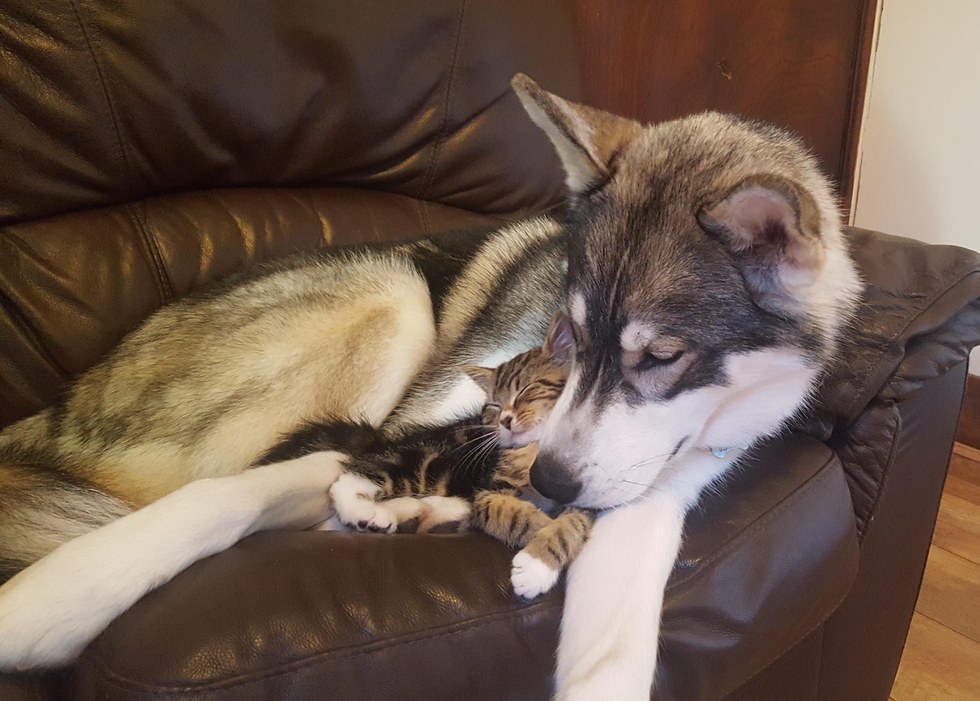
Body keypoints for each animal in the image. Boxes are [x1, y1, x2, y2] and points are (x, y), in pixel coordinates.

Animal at [0, 74, 856, 696]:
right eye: (573, 333)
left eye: (663, 355)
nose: (550, 480)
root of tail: (50, 411)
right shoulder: (398, 430)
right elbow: (220, 502)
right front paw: (52, 602)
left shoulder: (648, 501)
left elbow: (612, 651)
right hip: (394, 294)